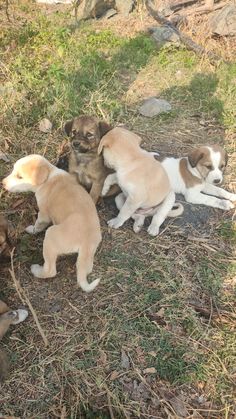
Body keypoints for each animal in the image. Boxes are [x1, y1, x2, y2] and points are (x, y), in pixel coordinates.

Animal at [2, 154, 101, 292]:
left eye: (20, 177)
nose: (2, 183)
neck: (49, 176)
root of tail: (86, 242)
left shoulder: (43, 215)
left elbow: (38, 224)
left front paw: (31, 230)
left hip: (50, 235)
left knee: (50, 270)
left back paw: (36, 270)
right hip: (88, 256)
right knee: (87, 268)